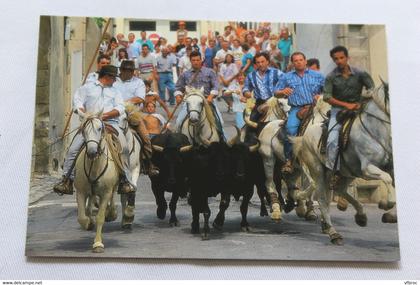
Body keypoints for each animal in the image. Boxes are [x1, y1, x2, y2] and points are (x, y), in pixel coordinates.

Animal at [292, 82, 394, 244]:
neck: (375, 132)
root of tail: (305, 136)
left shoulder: (388, 167)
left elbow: (391, 178)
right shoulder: (367, 168)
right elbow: (387, 178)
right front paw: (387, 204)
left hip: (345, 172)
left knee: (338, 191)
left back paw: (359, 216)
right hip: (318, 170)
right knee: (322, 197)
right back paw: (333, 233)